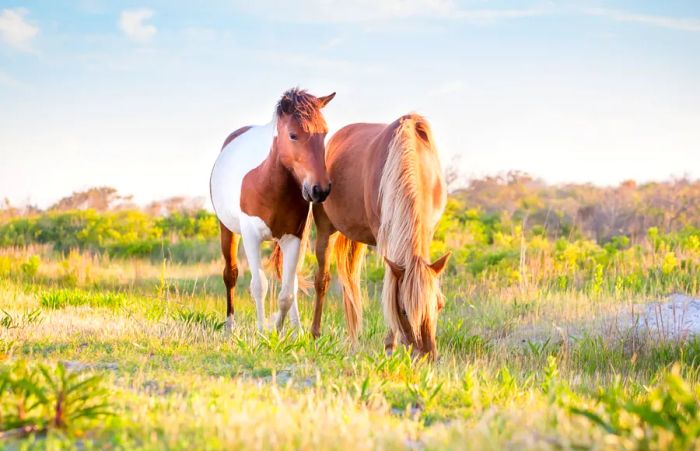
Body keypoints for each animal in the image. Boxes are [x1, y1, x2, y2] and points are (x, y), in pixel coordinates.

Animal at [209, 89, 334, 336]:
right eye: (293, 135)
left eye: (324, 134)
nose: (320, 189)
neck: (268, 182)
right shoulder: (251, 237)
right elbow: (259, 286)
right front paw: (261, 332)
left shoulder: (293, 238)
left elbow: (287, 293)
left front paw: (280, 331)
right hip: (227, 230)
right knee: (231, 274)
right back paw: (229, 326)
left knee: (291, 284)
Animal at [310, 114, 448, 360]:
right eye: (403, 310)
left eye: (439, 305)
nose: (426, 356)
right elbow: (390, 286)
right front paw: (389, 346)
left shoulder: (428, 230)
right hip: (326, 229)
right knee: (322, 280)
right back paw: (315, 334)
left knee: (350, 283)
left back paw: (353, 339)